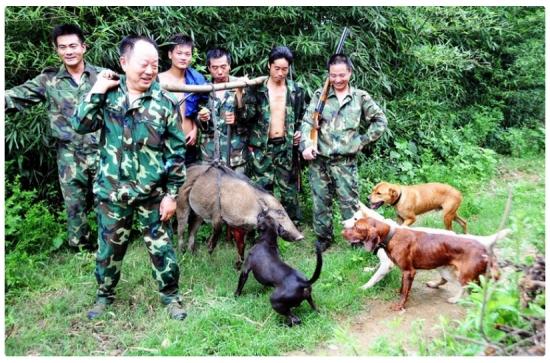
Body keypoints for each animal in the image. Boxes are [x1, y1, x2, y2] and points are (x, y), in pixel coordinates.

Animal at [342, 215, 512, 312]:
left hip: (465, 275)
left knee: (466, 288)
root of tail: (484, 247)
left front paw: (400, 306)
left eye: (356, 226)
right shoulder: (404, 271)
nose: (342, 232)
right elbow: (402, 288)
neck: (392, 235)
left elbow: (404, 292)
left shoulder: (409, 271)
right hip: (446, 269)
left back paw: (456, 299)